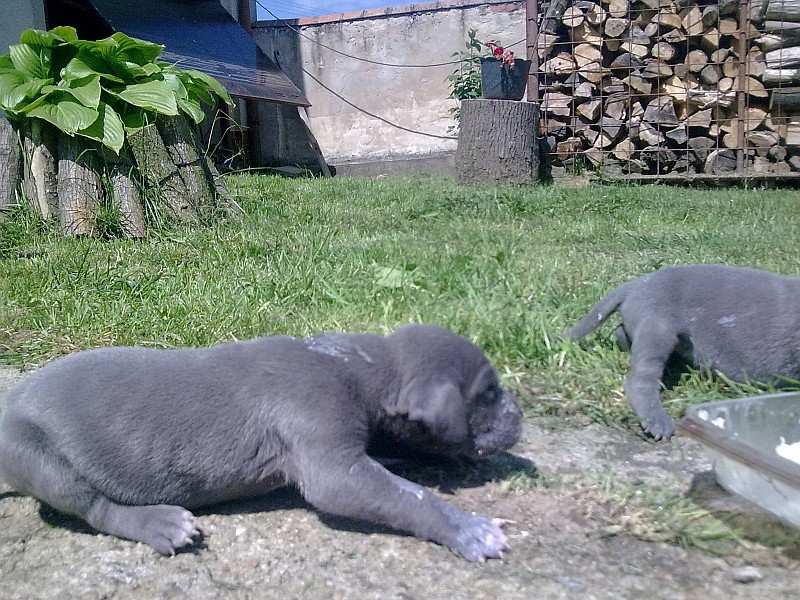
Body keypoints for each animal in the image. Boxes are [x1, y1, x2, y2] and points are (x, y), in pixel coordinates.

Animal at [0, 324, 521, 562]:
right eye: (488, 393)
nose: (519, 413)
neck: (360, 364)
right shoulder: (332, 463)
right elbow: (408, 497)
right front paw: (471, 530)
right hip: (35, 455)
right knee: (93, 508)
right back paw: (159, 524)